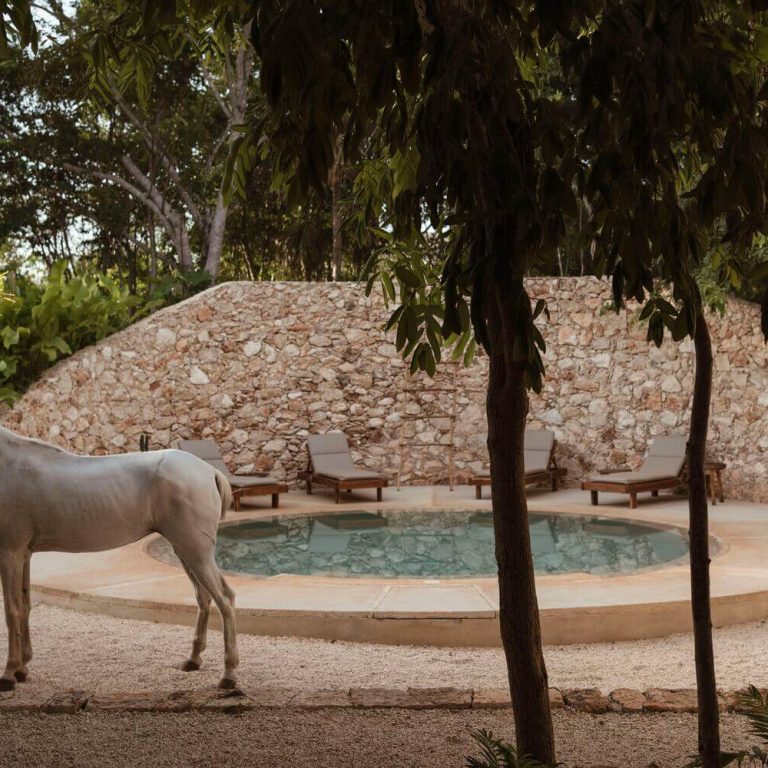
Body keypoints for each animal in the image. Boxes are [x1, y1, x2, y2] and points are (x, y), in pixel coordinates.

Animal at [0, 426, 238, 688]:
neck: (9, 464)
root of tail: (209, 471)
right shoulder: (24, 554)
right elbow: (25, 605)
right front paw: (22, 669)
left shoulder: (9, 553)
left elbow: (12, 610)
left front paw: (9, 673)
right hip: (185, 551)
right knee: (204, 598)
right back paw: (193, 660)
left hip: (195, 552)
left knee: (225, 599)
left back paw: (228, 676)